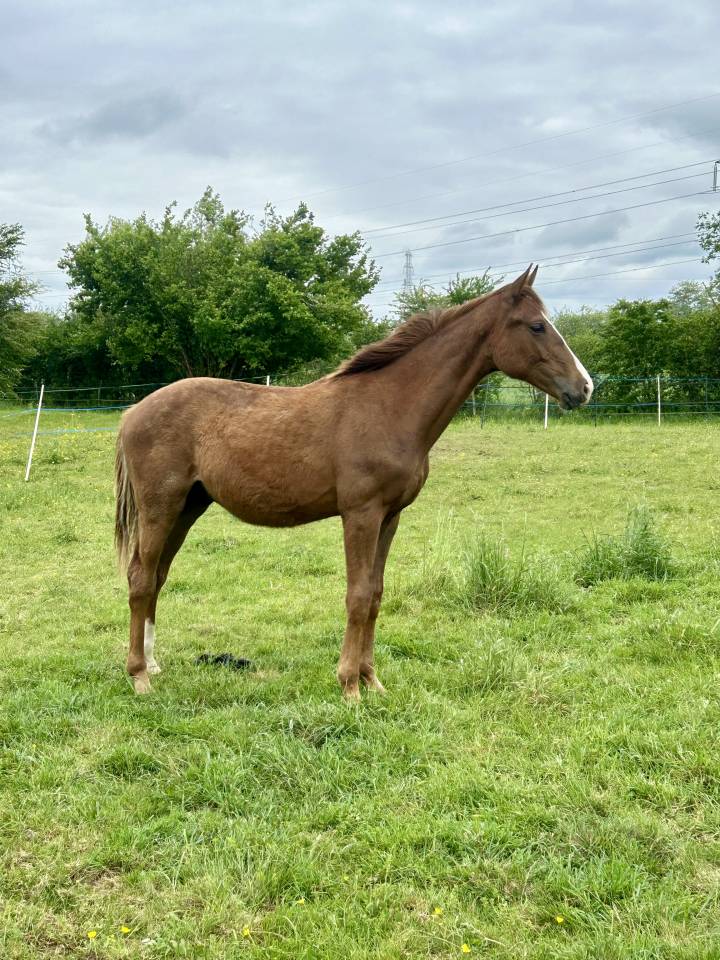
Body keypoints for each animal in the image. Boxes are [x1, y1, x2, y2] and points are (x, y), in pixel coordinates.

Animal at [115, 265, 592, 700]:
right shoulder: (361, 514)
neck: (389, 407)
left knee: (157, 575)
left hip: (189, 506)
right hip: (161, 506)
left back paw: (153, 663)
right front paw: (349, 686)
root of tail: (134, 411)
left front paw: (372, 680)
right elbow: (358, 595)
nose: (584, 387)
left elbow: (376, 595)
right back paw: (138, 676)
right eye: (536, 325)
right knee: (141, 577)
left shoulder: (390, 517)